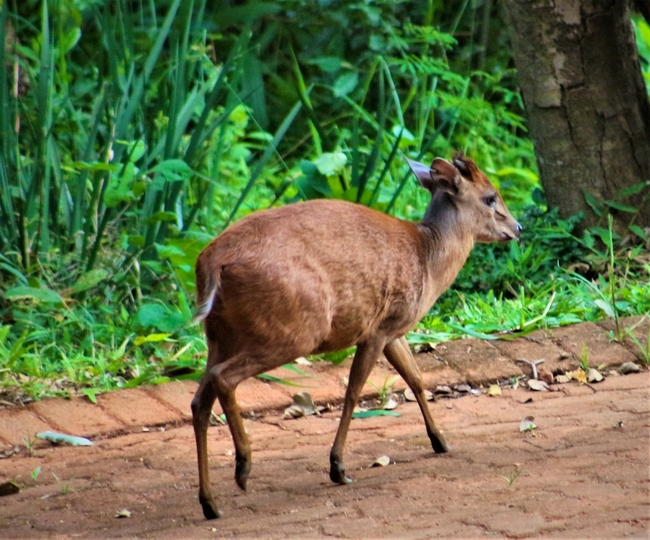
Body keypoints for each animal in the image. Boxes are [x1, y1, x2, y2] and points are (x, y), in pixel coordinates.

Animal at [190, 153, 520, 520]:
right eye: (490, 197)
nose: (517, 228)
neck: (429, 261)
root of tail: (211, 262)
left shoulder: (392, 329)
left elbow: (416, 379)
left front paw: (440, 441)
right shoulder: (377, 329)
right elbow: (354, 391)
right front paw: (338, 468)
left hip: (220, 335)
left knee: (199, 401)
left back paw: (210, 503)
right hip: (293, 330)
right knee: (224, 379)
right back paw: (243, 468)